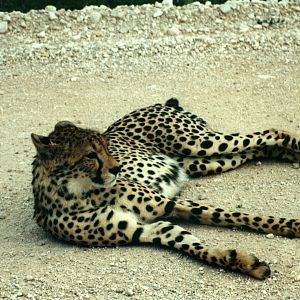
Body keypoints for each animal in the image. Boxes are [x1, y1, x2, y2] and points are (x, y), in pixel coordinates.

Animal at [31, 98, 300, 278]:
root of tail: (160, 103)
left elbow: (233, 214)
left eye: (106, 147)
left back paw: (295, 143)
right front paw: (241, 262)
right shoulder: (147, 229)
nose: (117, 168)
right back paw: (288, 154)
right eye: (90, 155)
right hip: (204, 162)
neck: (77, 193)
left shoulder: (167, 202)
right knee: (255, 149)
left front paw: (291, 225)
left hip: (199, 142)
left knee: (267, 133)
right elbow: (194, 246)